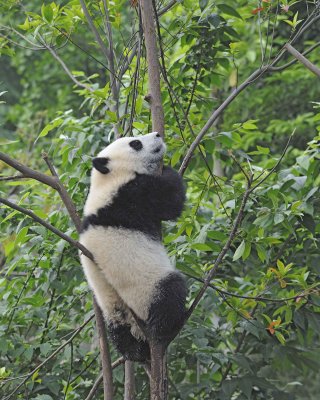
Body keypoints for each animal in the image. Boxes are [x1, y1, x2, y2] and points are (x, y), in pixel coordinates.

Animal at [78, 132, 186, 362]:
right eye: (135, 143)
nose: (158, 134)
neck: (107, 180)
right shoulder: (132, 195)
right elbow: (170, 201)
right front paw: (168, 168)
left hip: (112, 311)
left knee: (119, 335)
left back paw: (135, 352)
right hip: (147, 291)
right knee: (171, 291)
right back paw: (166, 328)